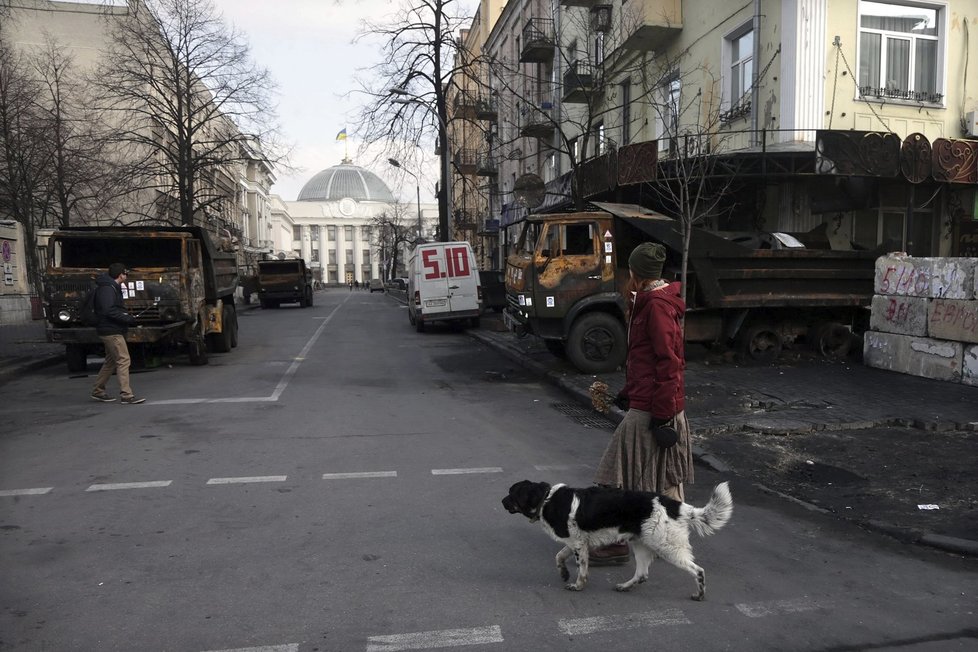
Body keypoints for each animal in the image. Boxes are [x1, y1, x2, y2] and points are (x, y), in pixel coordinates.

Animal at [504, 478, 732, 600]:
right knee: (642, 574)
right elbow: (559, 557)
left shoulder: (578, 544)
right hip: (641, 544)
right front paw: (564, 573)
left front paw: (578, 586)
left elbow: (581, 570)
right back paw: (625, 586)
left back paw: (699, 595)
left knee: (698, 571)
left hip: (667, 547)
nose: (501, 501)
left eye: (512, 493)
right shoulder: (577, 542)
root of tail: (674, 504)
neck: (546, 499)